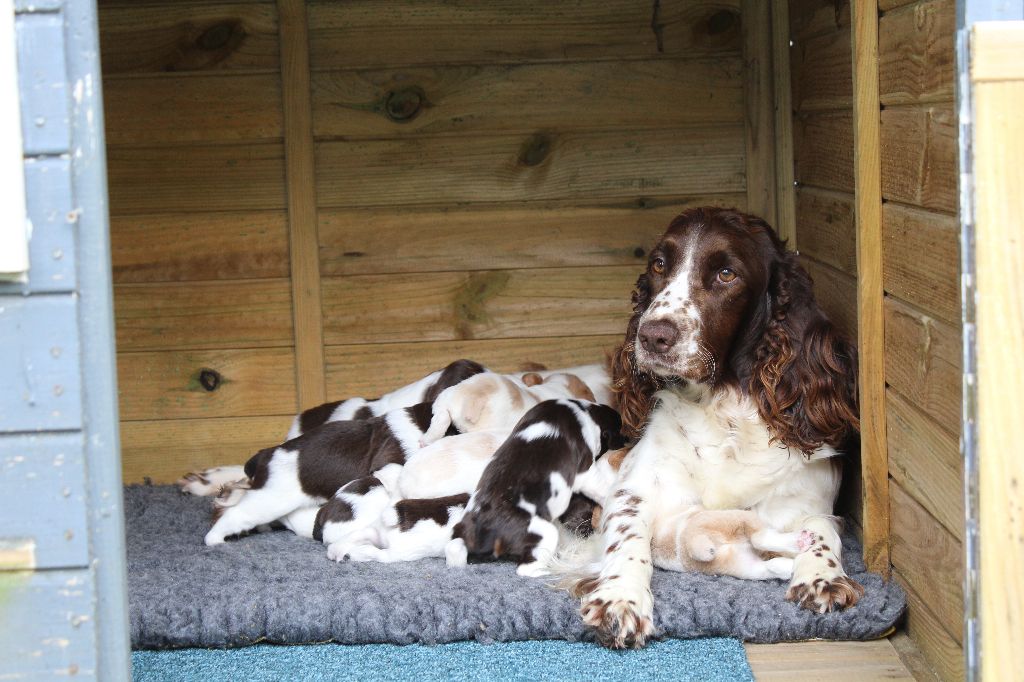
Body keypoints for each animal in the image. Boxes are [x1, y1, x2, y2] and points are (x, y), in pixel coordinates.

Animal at [446, 395, 622, 577]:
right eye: (619, 431)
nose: (625, 441)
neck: (584, 410)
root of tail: (483, 530)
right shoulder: (585, 472)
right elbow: (600, 487)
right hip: (545, 533)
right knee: (526, 568)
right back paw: (546, 570)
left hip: (460, 534)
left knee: (453, 549)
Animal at [565, 208, 860, 647]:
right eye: (659, 265)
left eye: (725, 273)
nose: (651, 336)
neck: (725, 408)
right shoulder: (636, 485)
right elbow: (627, 535)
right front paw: (621, 598)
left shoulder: (807, 495)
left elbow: (821, 526)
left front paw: (822, 576)